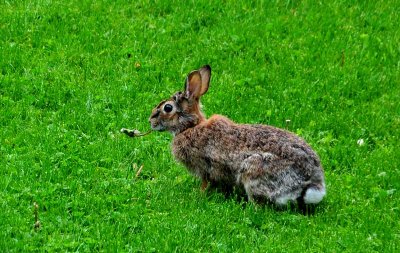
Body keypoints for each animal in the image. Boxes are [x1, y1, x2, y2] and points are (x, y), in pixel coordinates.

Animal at [149, 65, 324, 208]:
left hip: (253, 170)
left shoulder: (204, 167)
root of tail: (311, 184)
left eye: (168, 108)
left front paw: (199, 194)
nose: (151, 121)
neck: (191, 126)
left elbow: (205, 183)